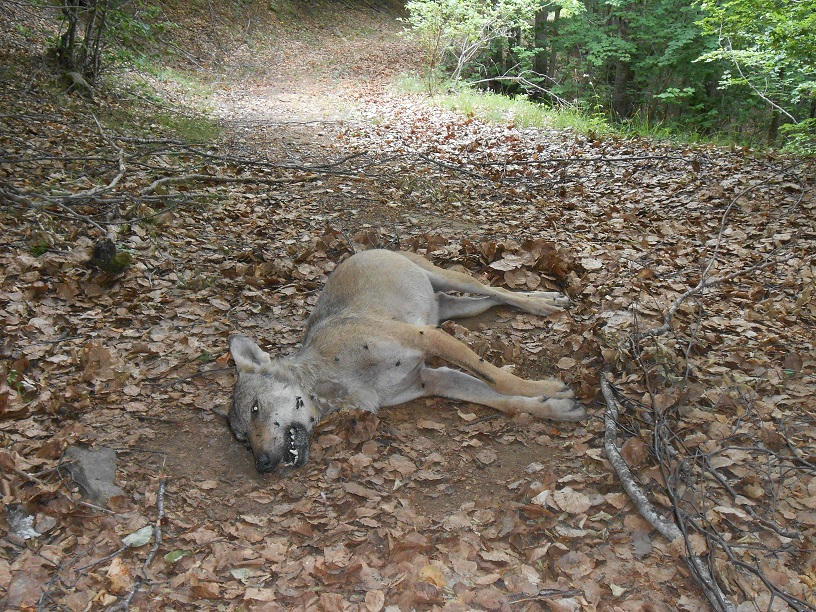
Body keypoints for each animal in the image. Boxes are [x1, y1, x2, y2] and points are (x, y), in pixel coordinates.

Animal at [230, 249, 588, 474]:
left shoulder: (426, 337)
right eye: (243, 441)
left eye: (256, 409)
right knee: (488, 299)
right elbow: (503, 401)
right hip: (451, 307)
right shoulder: (433, 379)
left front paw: (546, 389)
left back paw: (545, 303)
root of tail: (359, 250)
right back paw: (548, 299)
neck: (333, 377)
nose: (262, 465)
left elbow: (498, 377)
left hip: (447, 280)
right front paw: (554, 407)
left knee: (497, 290)